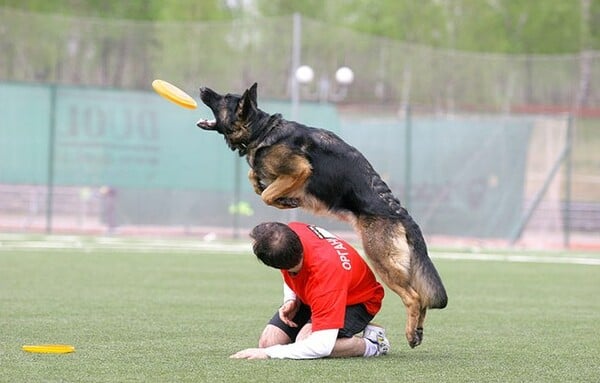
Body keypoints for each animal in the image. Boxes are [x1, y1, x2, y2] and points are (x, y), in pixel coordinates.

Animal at [197, 82, 446, 350]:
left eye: (224, 99)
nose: (202, 88)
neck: (262, 130)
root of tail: (402, 214)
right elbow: (254, 179)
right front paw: (271, 190)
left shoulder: (300, 170)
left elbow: (266, 194)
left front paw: (283, 200)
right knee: (422, 298)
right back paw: (418, 331)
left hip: (380, 259)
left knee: (414, 297)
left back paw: (410, 333)